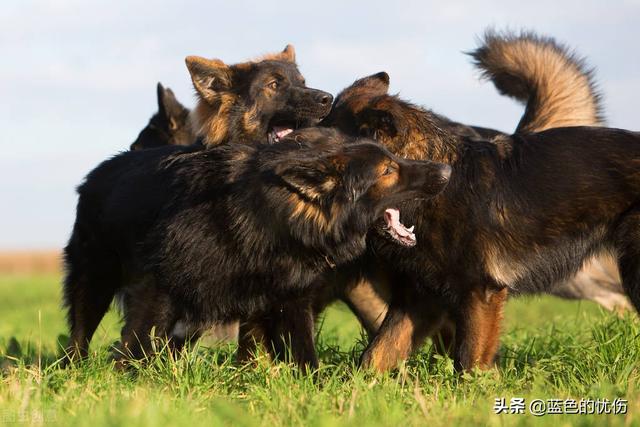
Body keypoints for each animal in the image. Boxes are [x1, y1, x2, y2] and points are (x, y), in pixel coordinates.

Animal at [61, 126, 450, 368]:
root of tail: (95, 175)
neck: (270, 214)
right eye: (387, 170)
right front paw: (130, 383)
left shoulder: (290, 300)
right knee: (79, 337)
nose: (447, 171)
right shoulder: (158, 289)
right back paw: (75, 372)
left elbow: (305, 355)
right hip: (95, 282)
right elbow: (137, 342)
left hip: (196, 307)